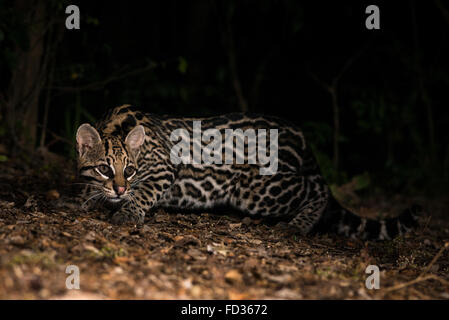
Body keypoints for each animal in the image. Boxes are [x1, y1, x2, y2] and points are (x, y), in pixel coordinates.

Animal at [74, 105, 420, 240]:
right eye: (105, 168)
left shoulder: (162, 169)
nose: (119, 189)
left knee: (317, 189)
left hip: (258, 190)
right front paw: (88, 197)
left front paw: (126, 212)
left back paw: (299, 224)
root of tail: (301, 136)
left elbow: (144, 192)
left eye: (130, 170)